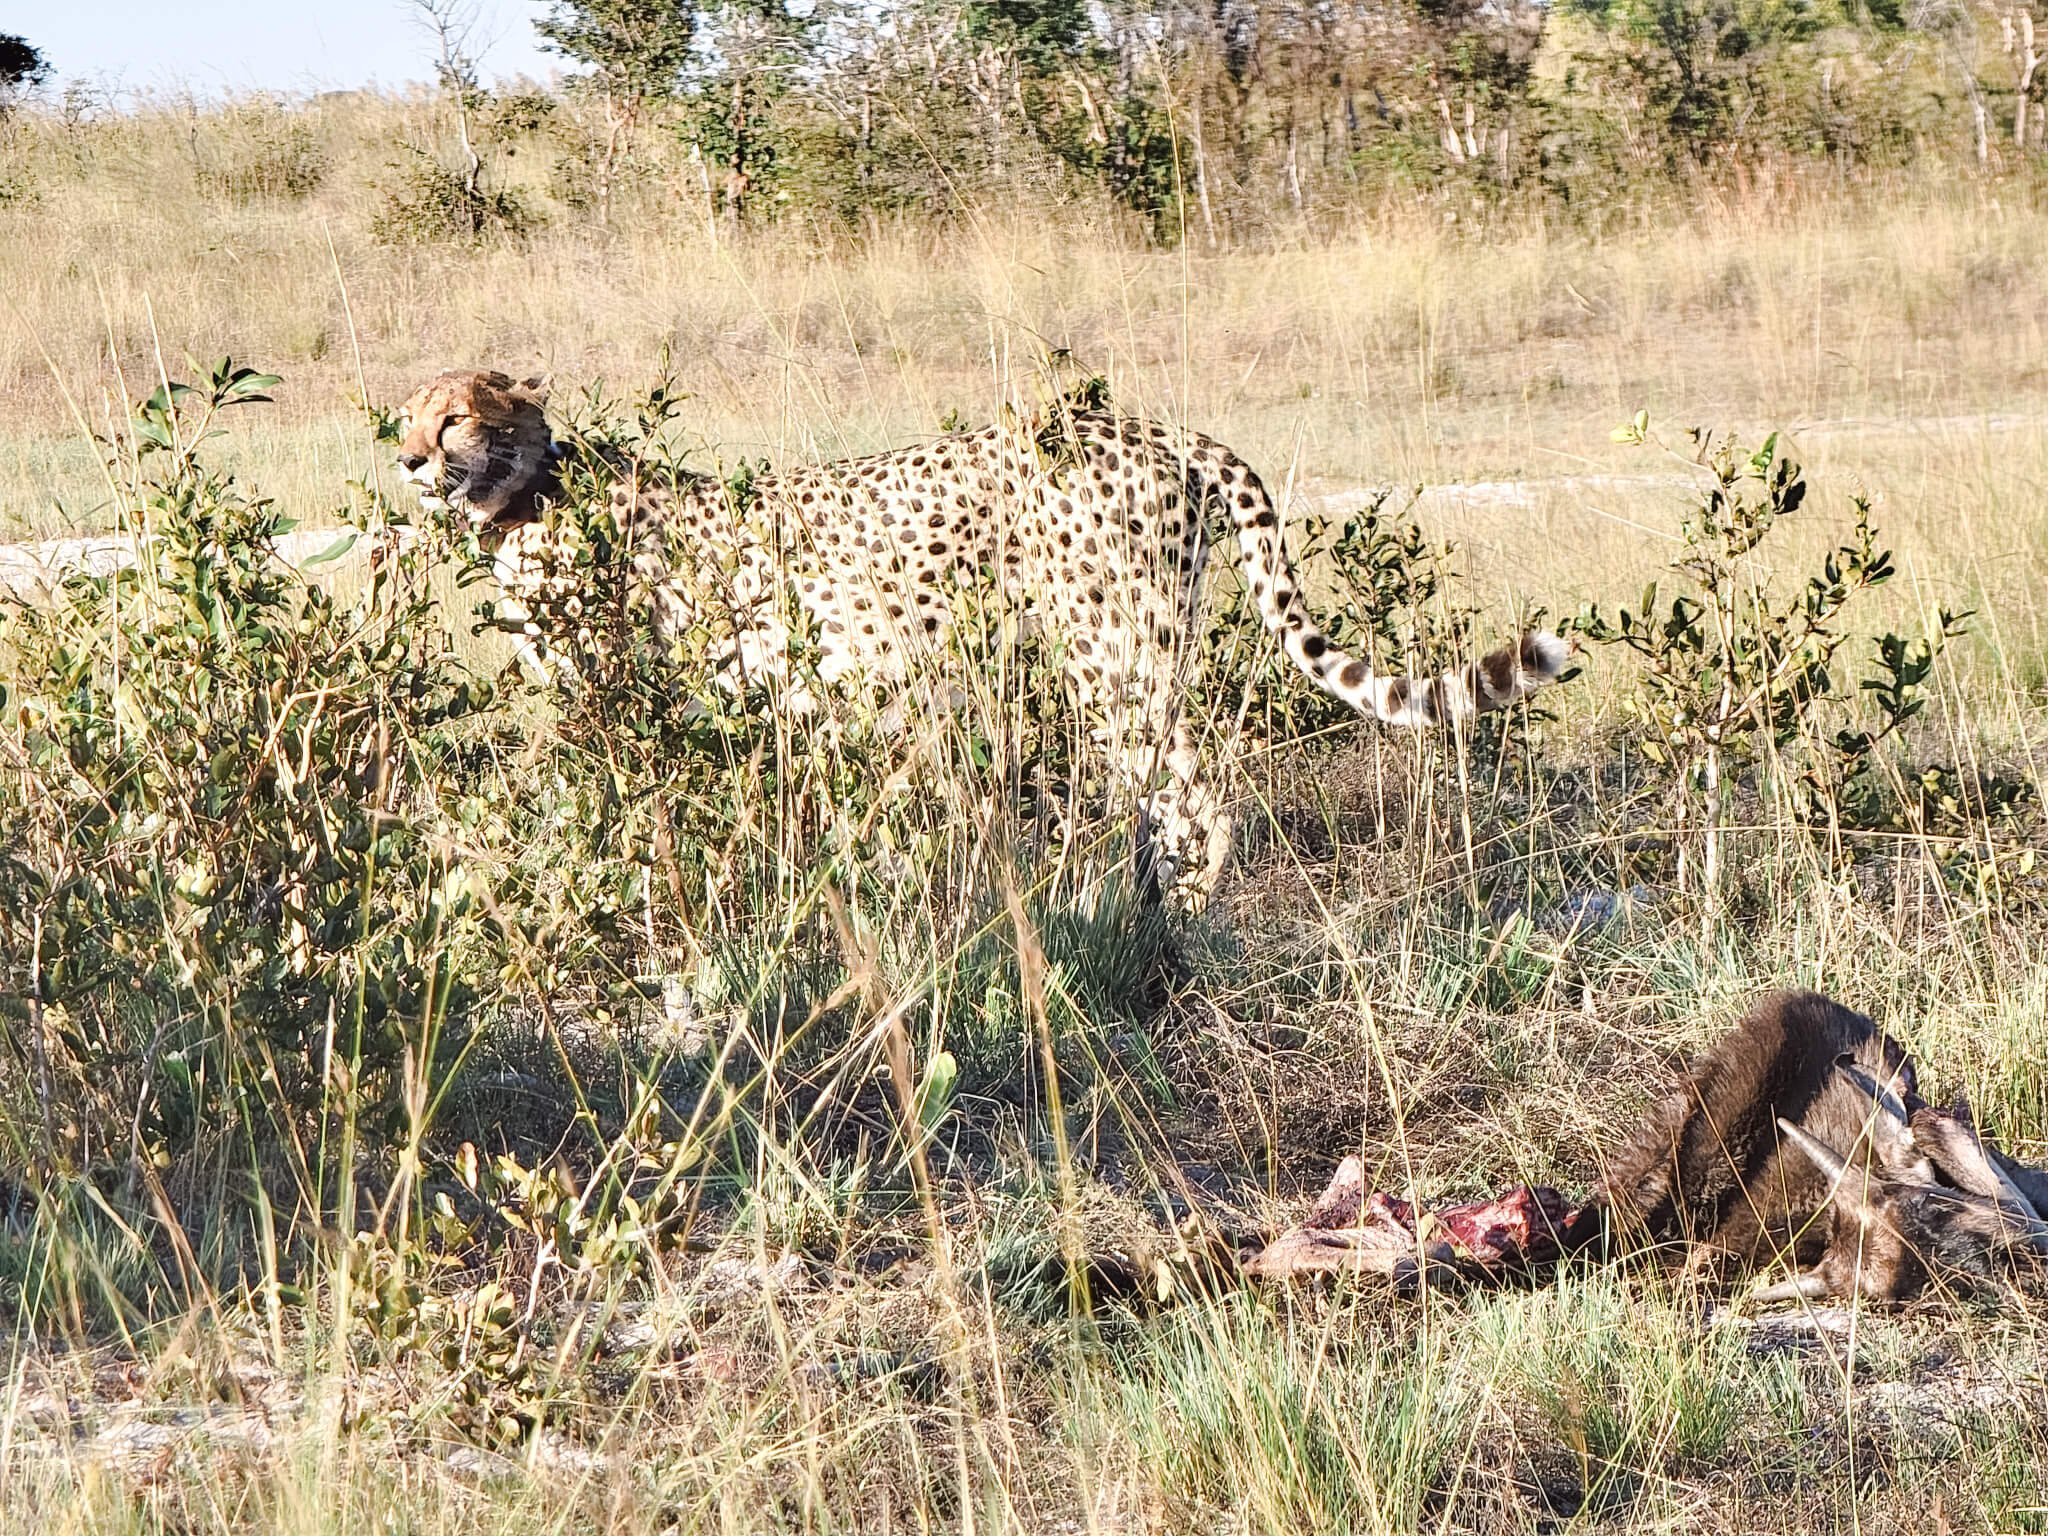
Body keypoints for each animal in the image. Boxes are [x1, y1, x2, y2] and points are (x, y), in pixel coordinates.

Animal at [391, 370, 1556, 901]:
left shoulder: (608, 695)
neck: (528, 492)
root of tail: (1145, 424)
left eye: (454, 417)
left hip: (1111, 652)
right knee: (1167, 788)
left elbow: (591, 807)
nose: (405, 460)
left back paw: (1185, 911)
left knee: (1197, 790)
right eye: (406, 416)